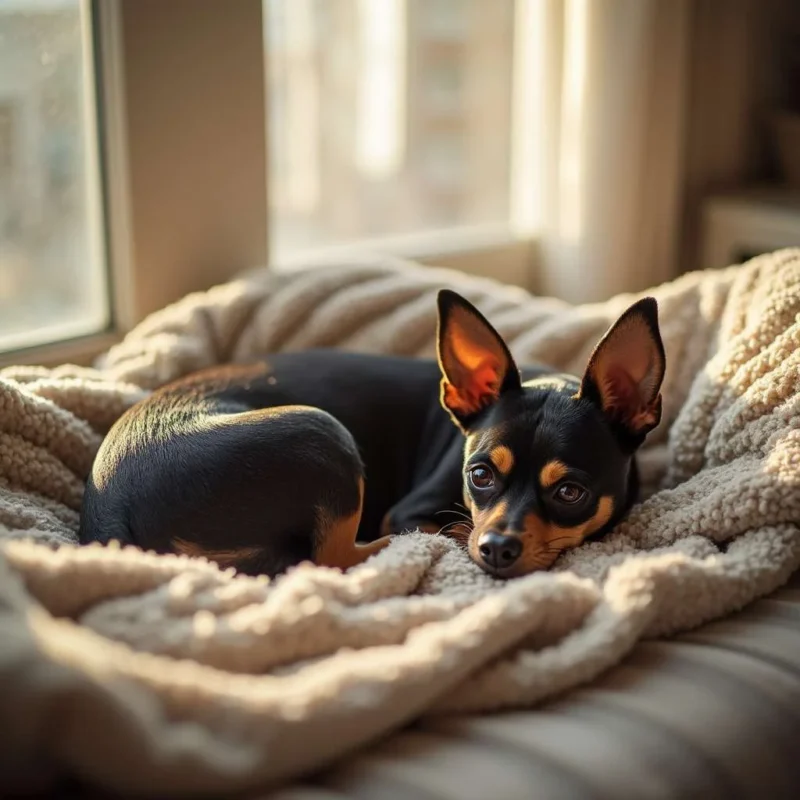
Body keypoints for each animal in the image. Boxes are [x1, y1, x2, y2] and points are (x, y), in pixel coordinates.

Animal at [79, 290, 668, 580]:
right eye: (478, 476)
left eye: (571, 492)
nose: (496, 548)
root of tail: (115, 516)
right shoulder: (416, 508)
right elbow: (443, 528)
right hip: (324, 433)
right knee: (330, 559)